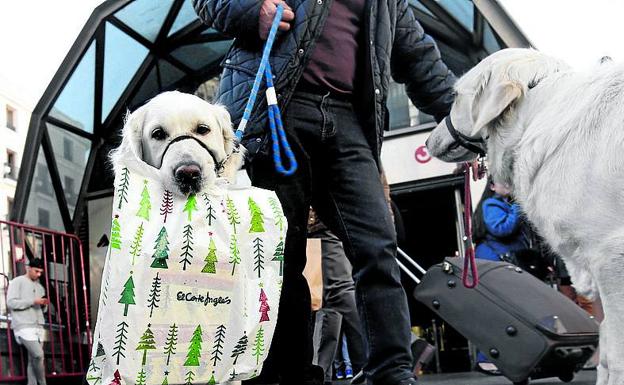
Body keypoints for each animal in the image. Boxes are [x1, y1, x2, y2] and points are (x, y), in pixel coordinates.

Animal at [426, 48, 624, 384]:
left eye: (455, 96)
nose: (427, 141)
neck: (536, 107)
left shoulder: (612, 259)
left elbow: (616, 354)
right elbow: (608, 350)